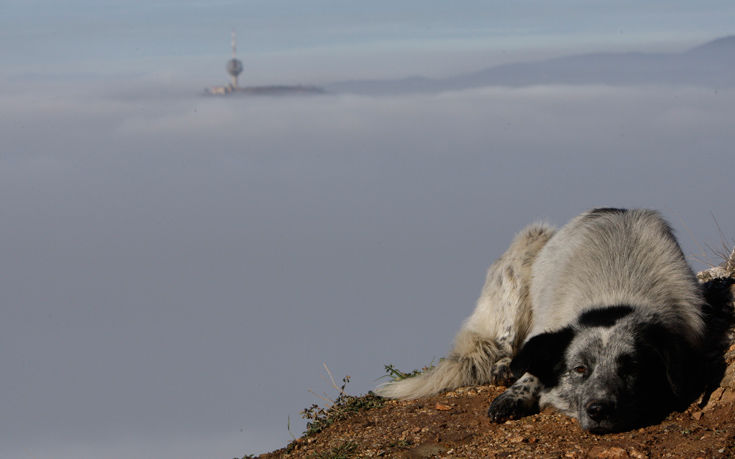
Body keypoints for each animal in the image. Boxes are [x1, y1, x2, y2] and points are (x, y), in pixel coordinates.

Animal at [376, 210, 732, 434]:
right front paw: (515, 394)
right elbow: (532, 365)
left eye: (631, 367)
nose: (599, 410)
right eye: (579, 369)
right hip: (528, 246)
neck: (615, 290)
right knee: (505, 342)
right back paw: (502, 367)